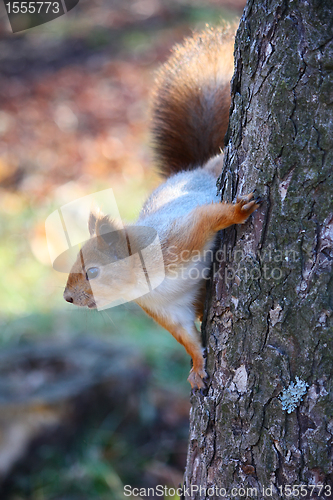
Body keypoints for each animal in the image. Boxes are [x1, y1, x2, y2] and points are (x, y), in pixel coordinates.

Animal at [62, 26, 260, 390]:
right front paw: (197, 368)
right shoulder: (168, 311)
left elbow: (207, 219)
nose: (67, 298)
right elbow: (186, 338)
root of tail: (192, 170)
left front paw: (239, 212)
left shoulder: (180, 239)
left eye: (92, 271)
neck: (147, 284)